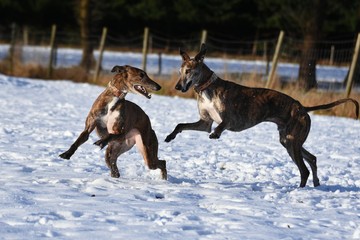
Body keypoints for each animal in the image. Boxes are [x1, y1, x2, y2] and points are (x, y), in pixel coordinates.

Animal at [165, 43, 358, 188]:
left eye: (189, 70)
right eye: (180, 71)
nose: (177, 87)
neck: (206, 88)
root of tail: (302, 107)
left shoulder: (231, 119)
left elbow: (222, 125)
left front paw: (216, 134)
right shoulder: (205, 122)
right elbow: (180, 125)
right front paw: (170, 136)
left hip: (292, 140)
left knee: (304, 170)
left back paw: (301, 190)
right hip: (289, 141)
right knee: (312, 159)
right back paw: (316, 184)